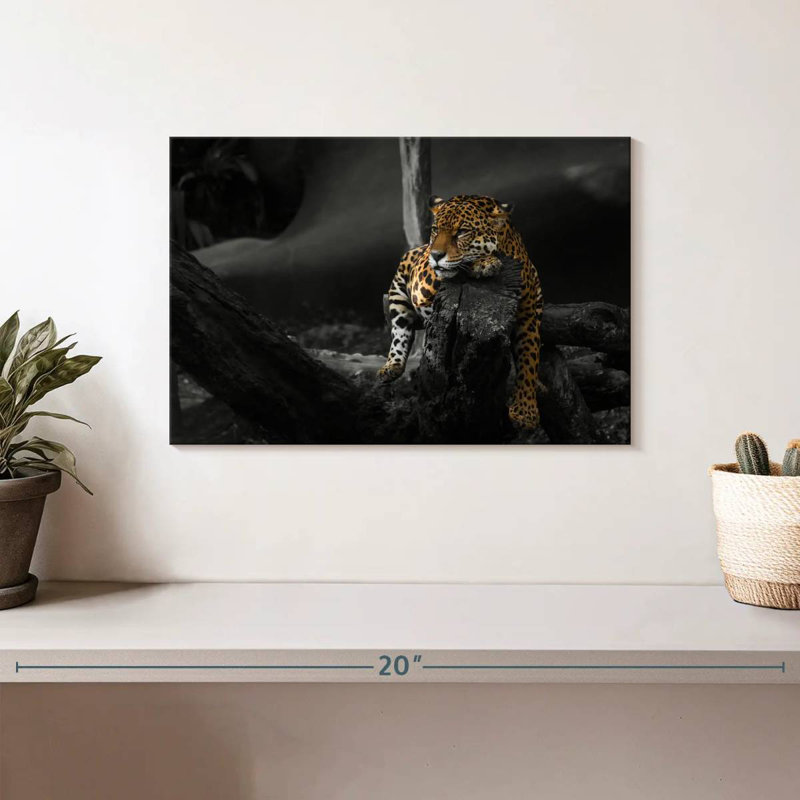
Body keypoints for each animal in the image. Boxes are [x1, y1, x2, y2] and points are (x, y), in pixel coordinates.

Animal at [377, 194, 543, 429]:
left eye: (462, 232)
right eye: (435, 230)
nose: (436, 254)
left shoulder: (527, 315)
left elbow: (529, 358)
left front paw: (525, 411)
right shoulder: (424, 277)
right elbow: (456, 268)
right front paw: (485, 262)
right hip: (401, 288)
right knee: (400, 330)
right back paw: (392, 366)